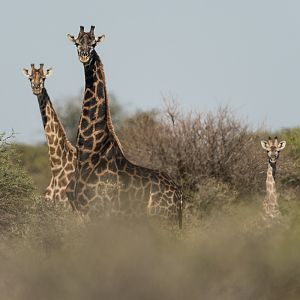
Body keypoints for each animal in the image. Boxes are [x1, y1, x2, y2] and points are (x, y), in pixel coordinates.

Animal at [66, 26, 183, 227]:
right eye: (77, 43)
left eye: (93, 43)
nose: (84, 56)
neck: (88, 152)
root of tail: (180, 196)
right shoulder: (81, 213)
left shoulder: (99, 212)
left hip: (163, 219)